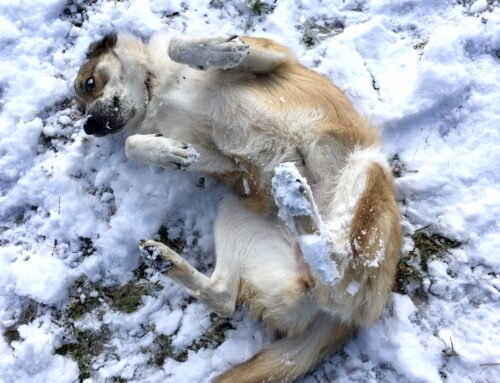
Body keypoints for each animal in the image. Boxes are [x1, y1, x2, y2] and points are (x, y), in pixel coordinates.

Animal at [74, 32, 402, 383]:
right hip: (234, 213)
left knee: (338, 277)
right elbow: (131, 144)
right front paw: (167, 152)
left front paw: (222, 48)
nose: (89, 126)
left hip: (365, 172)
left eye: (90, 83)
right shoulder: (219, 160)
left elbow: (180, 45)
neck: (157, 89)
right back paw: (164, 257)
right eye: (81, 106)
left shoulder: (273, 56)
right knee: (228, 297)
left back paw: (296, 200)